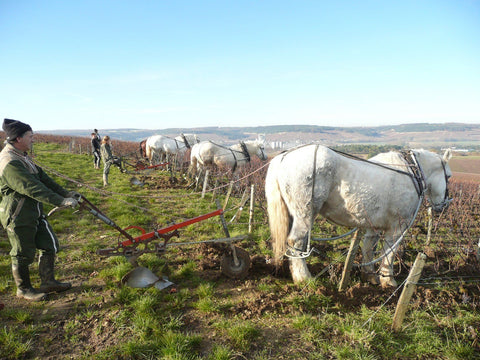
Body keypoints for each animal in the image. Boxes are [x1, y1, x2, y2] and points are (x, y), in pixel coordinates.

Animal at [264, 145, 452, 288]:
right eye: (448, 176)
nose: (444, 205)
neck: (412, 174)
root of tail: (283, 157)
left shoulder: (373, 225)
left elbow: (368, 248)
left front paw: (369, 276)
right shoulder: (397, 227)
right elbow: (389, 253)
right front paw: (388, 280)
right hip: (305, 214)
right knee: (295, 241)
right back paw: (303, 278)